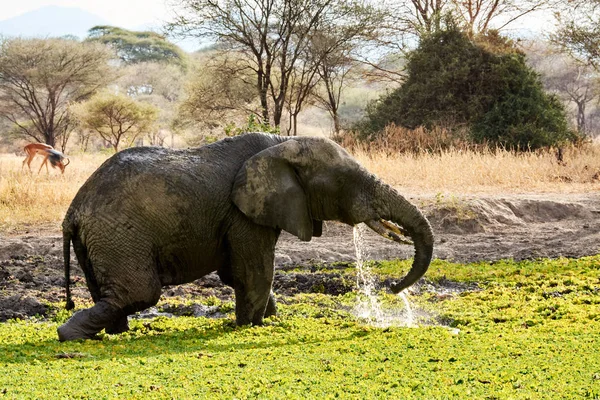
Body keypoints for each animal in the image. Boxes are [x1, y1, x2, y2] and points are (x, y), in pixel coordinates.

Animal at [57, 134, 432, 340]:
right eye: (345, 181)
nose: (392, 288)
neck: (283, 142)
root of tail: (72, 211)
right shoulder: (243, 214)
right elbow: (254, 270)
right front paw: (252, 326)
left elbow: (240, 273)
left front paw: (269, 317)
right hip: (118, 235)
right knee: (139, 293)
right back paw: (69, 335)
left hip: (98, 242)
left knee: (111, 295)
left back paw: (109, 332)